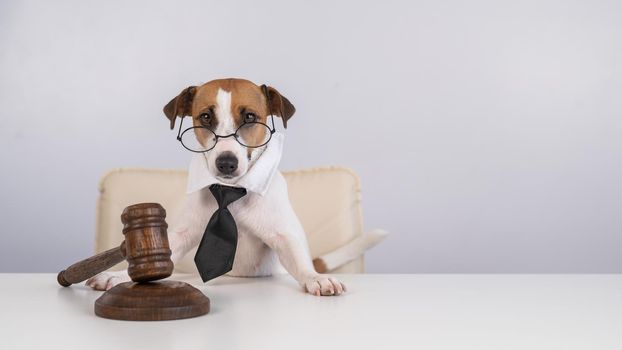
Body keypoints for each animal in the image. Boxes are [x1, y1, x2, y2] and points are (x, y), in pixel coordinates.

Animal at [86, 78, 348, 296]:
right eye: (205, 117)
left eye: (250, 117)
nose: (226, 163)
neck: (230, 190)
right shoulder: (182, 234)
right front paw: (118, 275)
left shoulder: (283, 236)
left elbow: (299, 261)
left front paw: (315, 277)